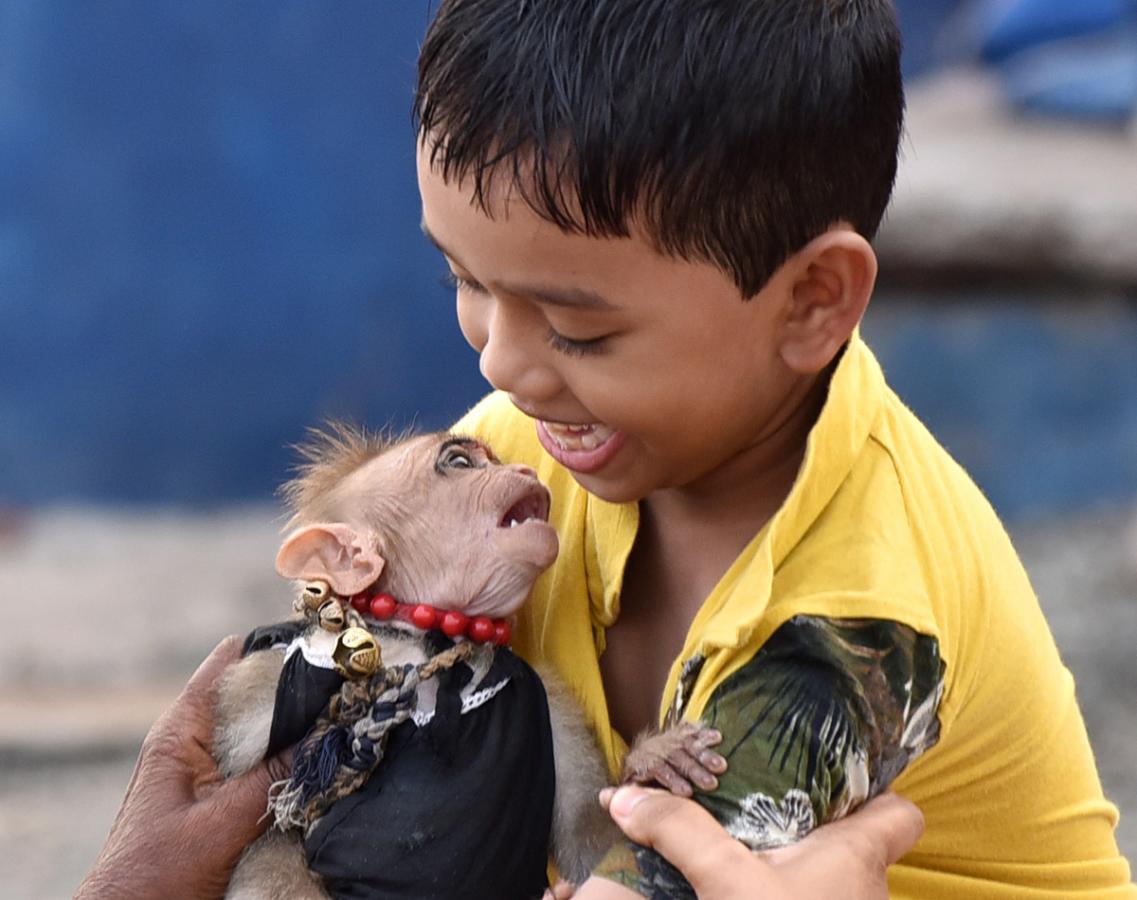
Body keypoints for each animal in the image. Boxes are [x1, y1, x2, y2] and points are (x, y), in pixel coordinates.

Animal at [213, 427, 723, 900]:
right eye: (460, 462)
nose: (525, 470)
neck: (432, 647)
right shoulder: (278, 679)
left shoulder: (549, 700)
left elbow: (590, 839)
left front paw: (652, 760)